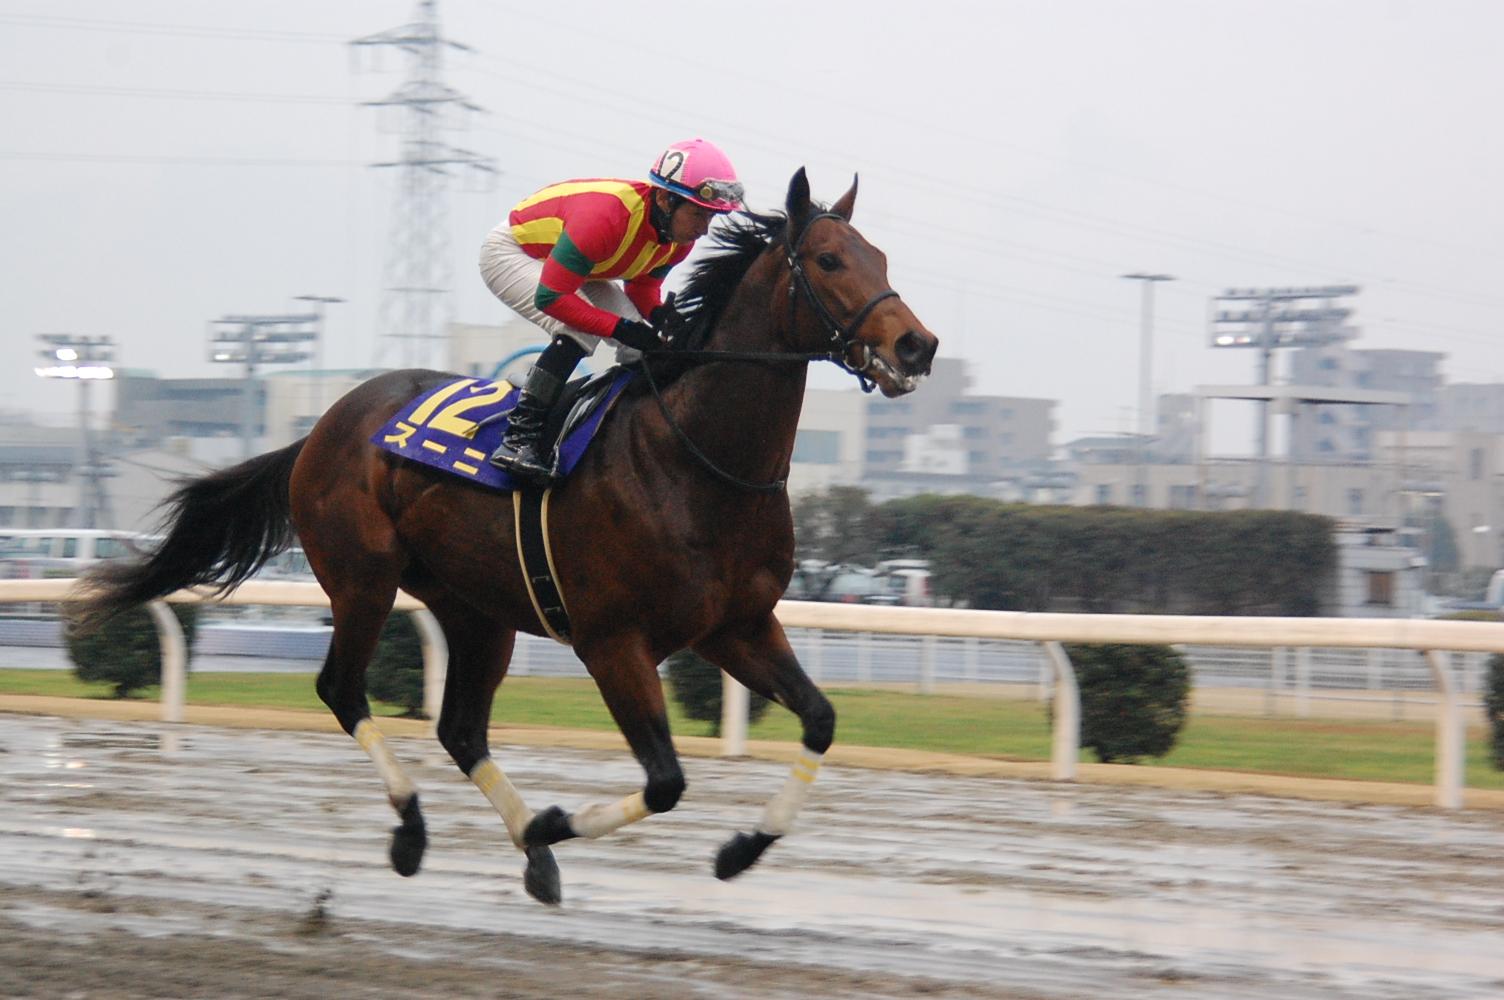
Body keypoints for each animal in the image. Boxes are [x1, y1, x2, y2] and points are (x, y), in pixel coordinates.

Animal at [77, 168, 939, 905]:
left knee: (460, 728)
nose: (916, 345)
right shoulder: (612, 641)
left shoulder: (736, 626)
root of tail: (323, 425)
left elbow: (821, 720)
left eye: (880, 256)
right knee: (342, 690)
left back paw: (529, 847)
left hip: (475, 608)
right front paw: (559, 821)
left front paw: (740, 850)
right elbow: (666, 781)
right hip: (363, 576)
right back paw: (419, 831)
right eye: (829, 259)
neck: (696, 459)